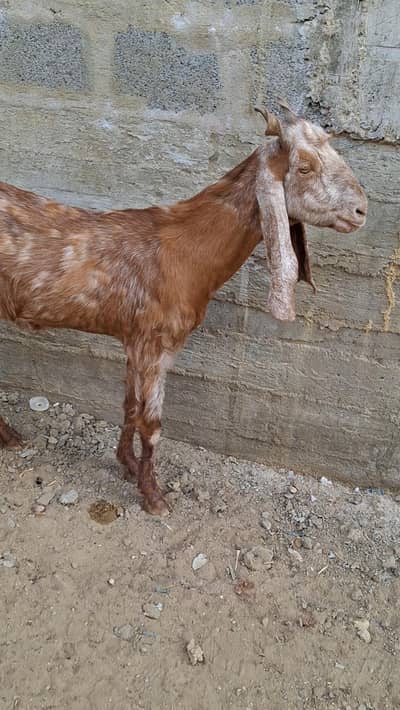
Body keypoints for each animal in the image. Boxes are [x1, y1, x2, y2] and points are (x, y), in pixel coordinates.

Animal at [0, 103, 367, 516]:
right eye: (304, 167)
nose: (361, 210)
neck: (186, 250)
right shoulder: (156, 344)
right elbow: (152, 423)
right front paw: (153, 496)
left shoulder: (135, 341)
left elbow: (129, 406)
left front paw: (127, 465)